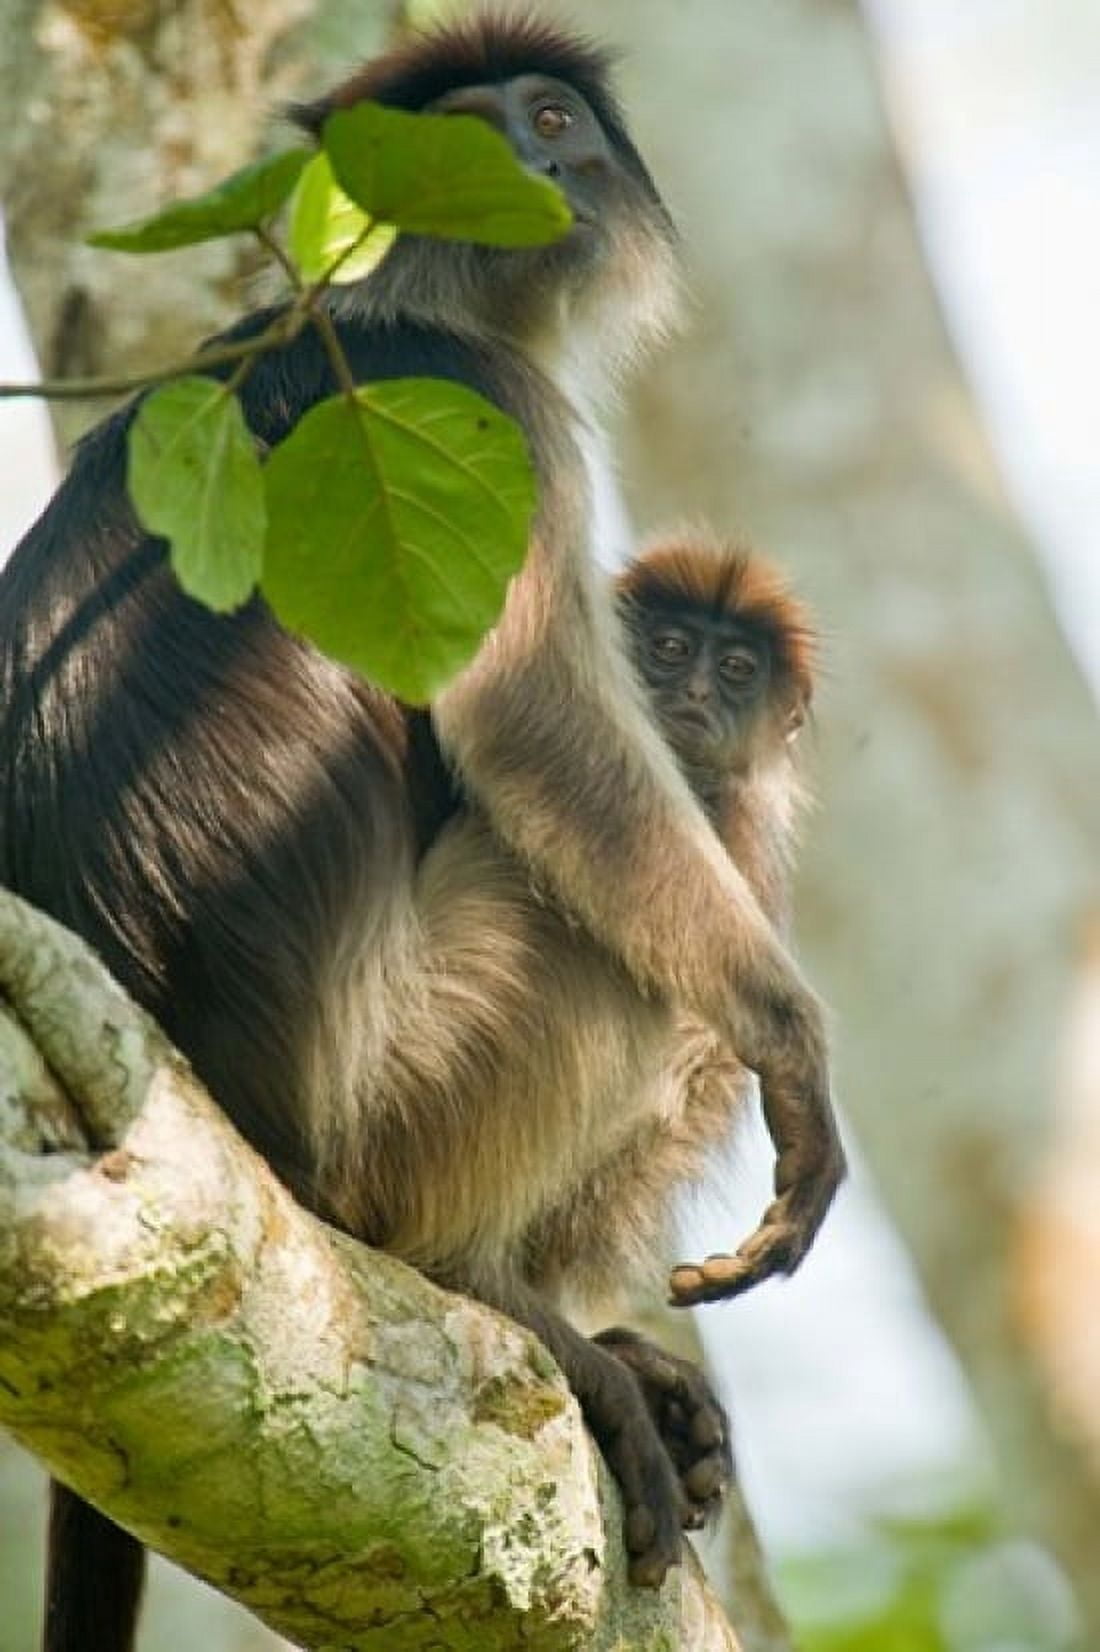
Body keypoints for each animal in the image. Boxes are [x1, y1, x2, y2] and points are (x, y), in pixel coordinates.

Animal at [0, 16, 843, 1648]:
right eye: (473, 129)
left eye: (552, 119)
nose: (527, 163)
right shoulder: (492, 410)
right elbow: (535, 735)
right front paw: (790, 1044)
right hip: (400, 1087)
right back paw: (482, 1281)